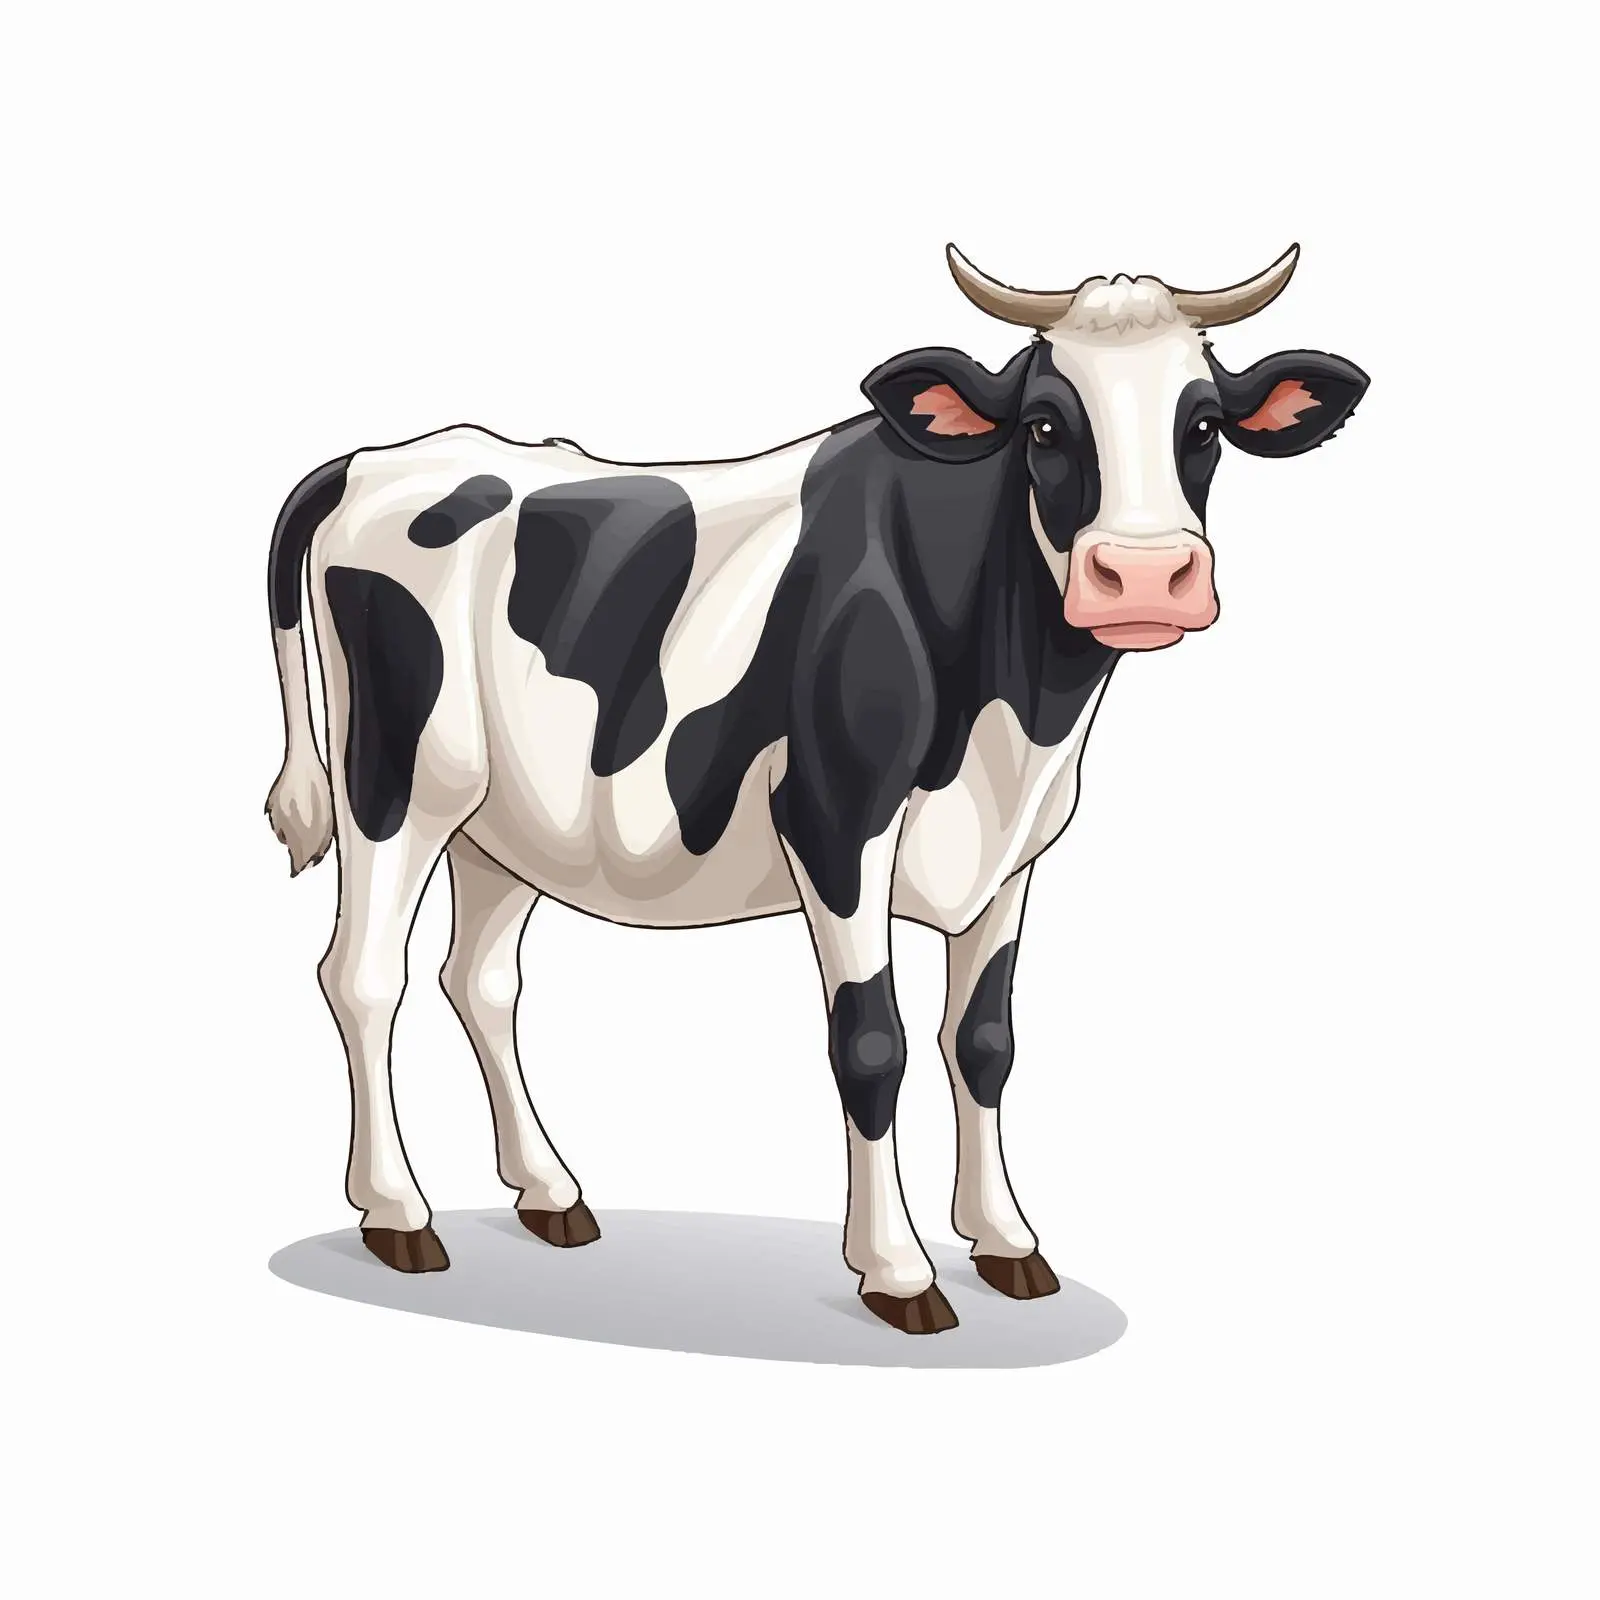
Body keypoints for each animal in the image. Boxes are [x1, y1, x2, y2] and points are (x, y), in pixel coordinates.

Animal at [265, 244, 1367, 1334]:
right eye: (1047, 424)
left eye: (1203, 424)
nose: (1141, 577)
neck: (1015, 717)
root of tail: (382, 458)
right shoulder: (837, 824)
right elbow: (871, 1043)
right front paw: (898, 1269)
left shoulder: (1016, 851)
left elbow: (985, 1041)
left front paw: (1007, 1241)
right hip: (397, 779)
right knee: (363, 975)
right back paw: (397, 1212)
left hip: (500, 822)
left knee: (481, 981)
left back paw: (549, 1192)